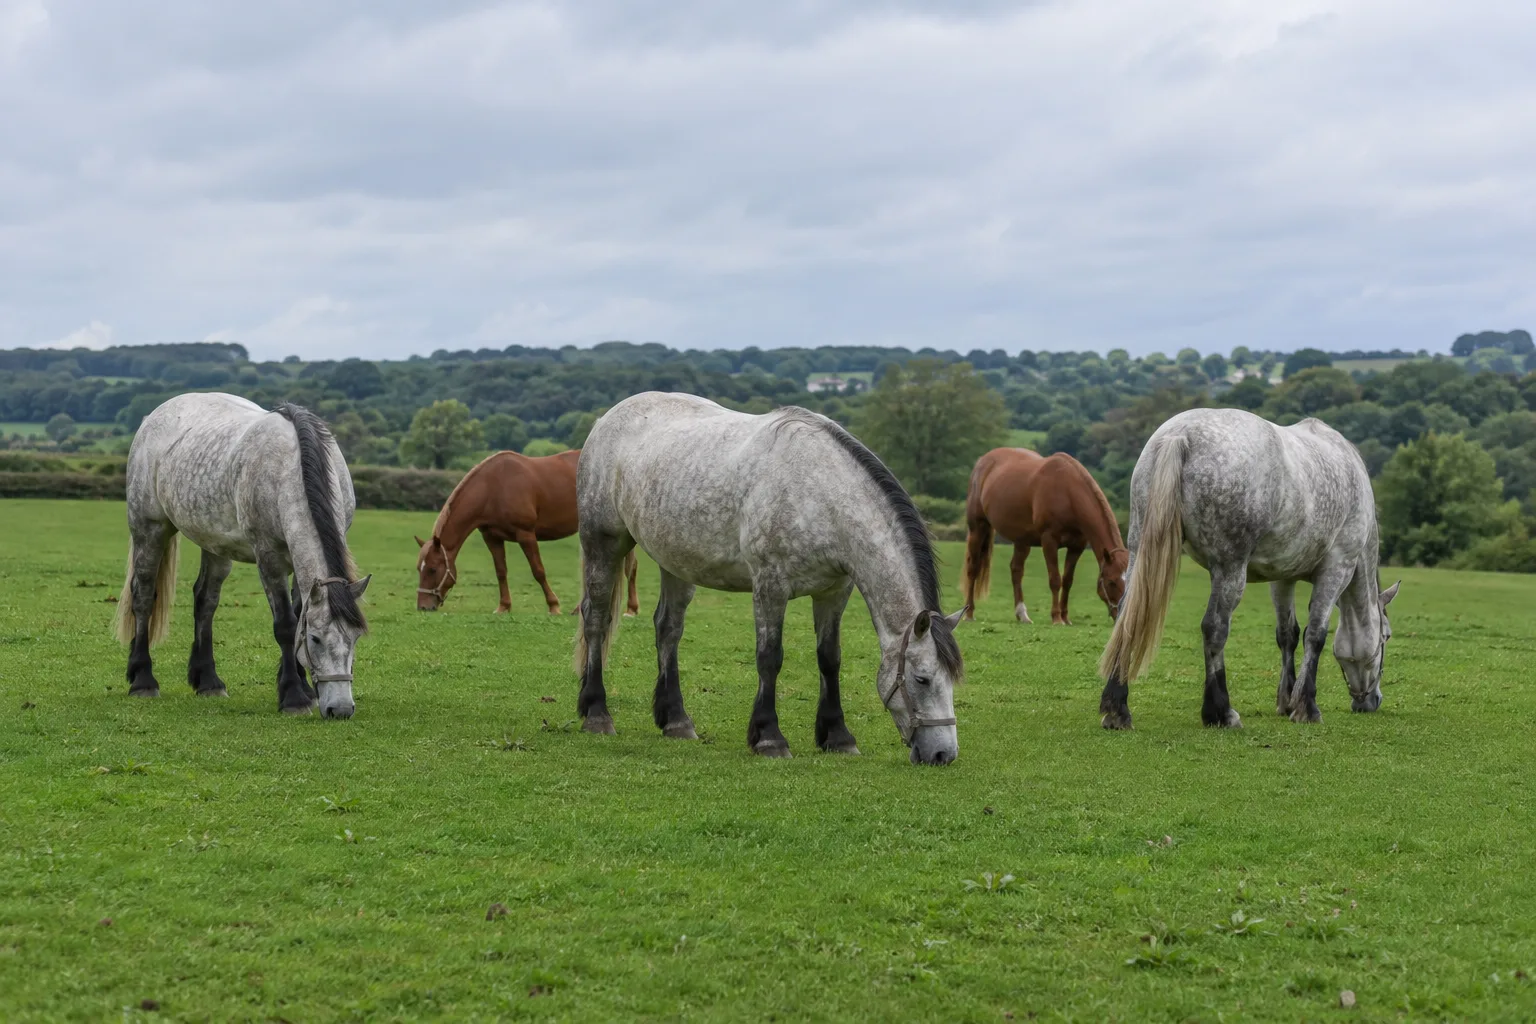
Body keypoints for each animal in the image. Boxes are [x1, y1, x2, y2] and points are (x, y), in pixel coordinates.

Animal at [114, 394, 371, 719]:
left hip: (214, 544)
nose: (341, 710)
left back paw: (208, 681)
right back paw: (142, 680)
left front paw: (304, 688)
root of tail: (153, 416)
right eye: (315, 639)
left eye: (356, 637)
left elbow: (298, 615)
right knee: (144, 596)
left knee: (205, 601)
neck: (289, 467)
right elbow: (286, 625)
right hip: (150, 529)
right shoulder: (268, 557)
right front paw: (293, 697)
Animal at [413, 449, 639, 615]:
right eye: (419, 568)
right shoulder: (492, 538)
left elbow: (538, 570)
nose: (423, 606)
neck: (493, 486)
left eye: (432, 569)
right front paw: (504, 606)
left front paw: (553, 605)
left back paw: (631, 609)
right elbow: (501, 571)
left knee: (630, 567)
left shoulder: (526, 535)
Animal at [573, 392, 966, 765]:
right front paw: (769, 738)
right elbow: (769, 657)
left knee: (667, 628)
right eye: (922, 679)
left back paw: (676, 721)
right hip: (603, 543)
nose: (943, 755)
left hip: (676, 562)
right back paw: (597, 713)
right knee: (596, 619)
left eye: (953, 681)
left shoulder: (834, 592)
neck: (820, 492)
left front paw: (838, 737)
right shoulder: (770, 587)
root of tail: (606, 419)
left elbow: (829, 659)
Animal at [960, 447, 1128, 624]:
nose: (1122, 616)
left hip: (1022, 541)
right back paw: (969, 613)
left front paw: (1065, 617)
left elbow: (1067, 581)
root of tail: (983, 461)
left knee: (1016, 570)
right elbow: (1055, 580)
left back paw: (1022, 614)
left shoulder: (1077, 546)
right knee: (973, 569)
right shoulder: (1049, 541)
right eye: (1111, 582)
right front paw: (1056, 618)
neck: (1067, 492)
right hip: (978, 528)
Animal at [1097, 408, 1400, 730]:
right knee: (1215, 627)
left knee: (1126, 617)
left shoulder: (1282, 578)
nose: (1371, 701)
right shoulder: (1337, 569)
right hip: (1230, 570)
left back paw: (1117, 710)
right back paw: (1221, 712)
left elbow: (1288, 634)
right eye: (1386, 636)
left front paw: (1286, 700)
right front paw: (1306, 707)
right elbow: (1315, 635)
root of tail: (1181, 434)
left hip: (1139, 554)